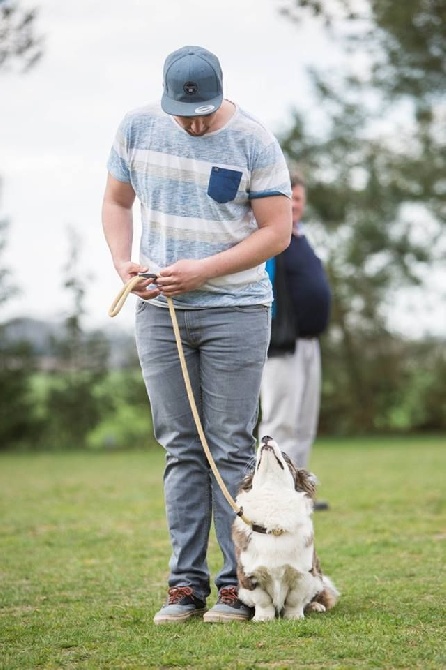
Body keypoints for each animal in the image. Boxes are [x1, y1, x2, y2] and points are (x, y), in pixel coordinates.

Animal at [232, 438, 340, 624]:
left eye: (285, 455)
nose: (266, 438)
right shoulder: (248, 576)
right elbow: (262, 600)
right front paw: (263, 618)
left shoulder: (303, 574)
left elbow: (295, 599)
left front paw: (294, 616)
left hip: (318, 579)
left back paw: (316, 606)